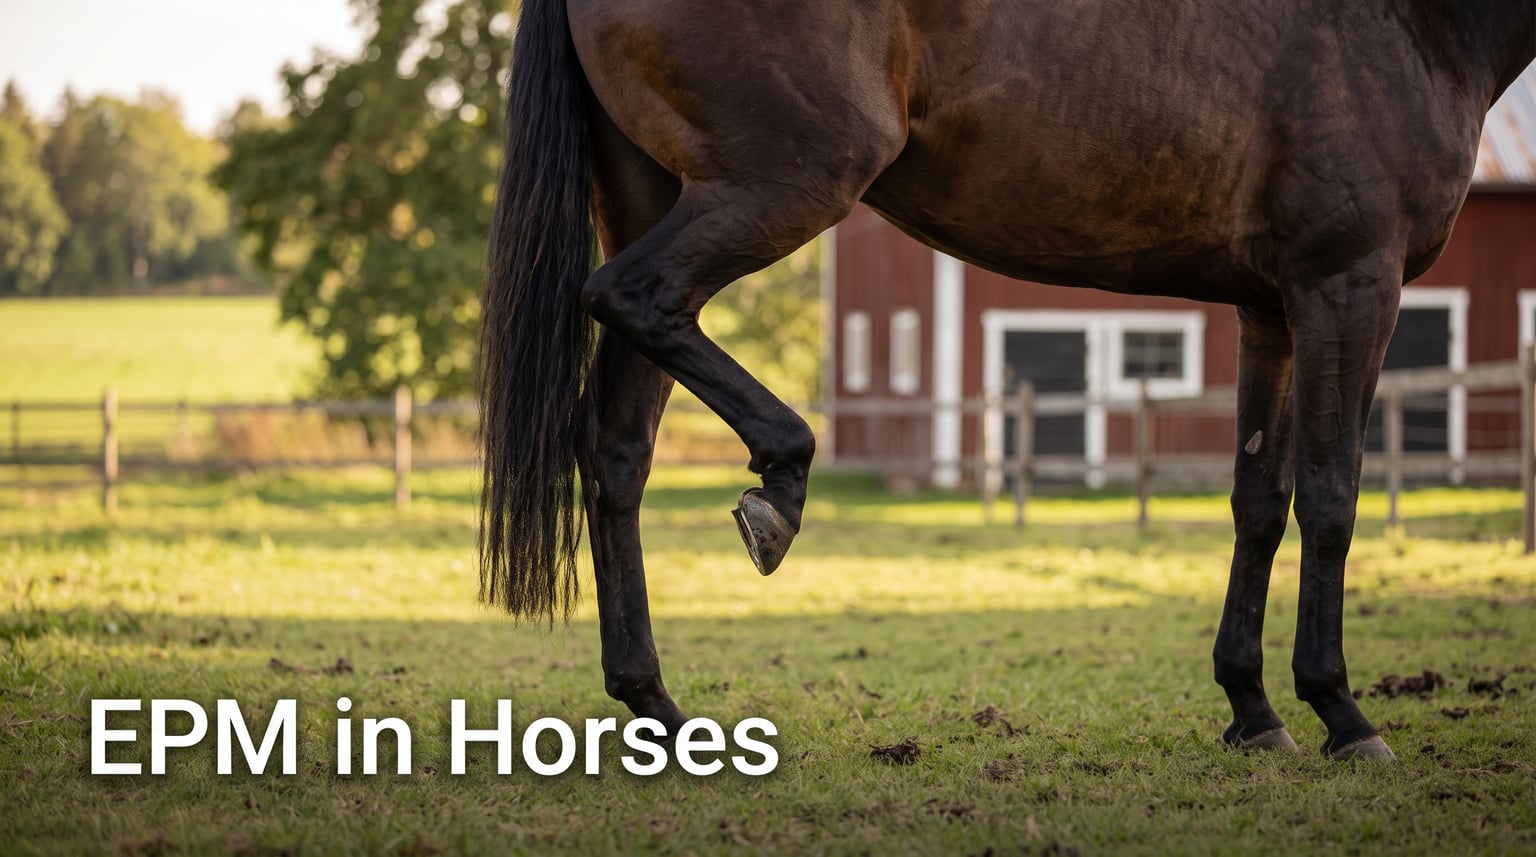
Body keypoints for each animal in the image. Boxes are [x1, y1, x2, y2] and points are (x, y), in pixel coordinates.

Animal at [478, 0, 1535, 761]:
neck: (1413, 23)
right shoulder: (1348, 285)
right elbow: (1330, 496)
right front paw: (1342, 712)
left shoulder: (1270, 309)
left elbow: (1258, 502)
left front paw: (1252, 708)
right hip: (774, 186)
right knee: (633, 300)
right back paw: (778, 483)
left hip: (659, 190)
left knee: (617, 448)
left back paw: (658, 706)